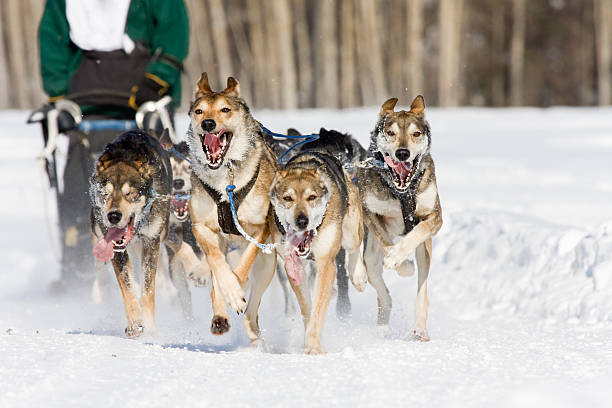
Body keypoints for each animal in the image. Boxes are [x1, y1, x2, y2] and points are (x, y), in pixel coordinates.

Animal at [88, 130, 171, 338]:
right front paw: (135, 324)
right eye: (105, 193)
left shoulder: (151, 241)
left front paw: (150, 329)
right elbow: (128, 289)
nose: (113, 216)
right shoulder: (116, 250)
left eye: (130, 193)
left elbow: (148, 292)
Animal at [186, 71, 280, 342]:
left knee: (253, 309)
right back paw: (220, 317)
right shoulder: (202, 227)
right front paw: (230, 291)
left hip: (267, 265)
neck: (226, 179)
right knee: (216, 277)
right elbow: (218, 264)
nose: (208, 124)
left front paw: (237, 289)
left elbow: (245, 262)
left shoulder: (258, 229)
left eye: (225, 110)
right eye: (199, 111)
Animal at [272, 151, 366, 352]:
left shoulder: (326, 263)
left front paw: (313, 346)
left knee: (355, 246)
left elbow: (317, 311)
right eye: (288, 198)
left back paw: (358, 276)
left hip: (350, 231)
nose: (302, 221)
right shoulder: (294, 268)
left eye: (311, 197)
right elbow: (308, 309)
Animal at [354, 95, 444, 342]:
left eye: (416, 133)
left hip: (425, 250)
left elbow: (418, 232)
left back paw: (418, 329)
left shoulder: (434, 217)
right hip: (370, 251)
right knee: (375, 276)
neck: (402, 192)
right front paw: (401, 263)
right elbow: (386, 244)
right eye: (390, 132)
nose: (402, 153)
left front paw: (400, 257)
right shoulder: (370, 213)